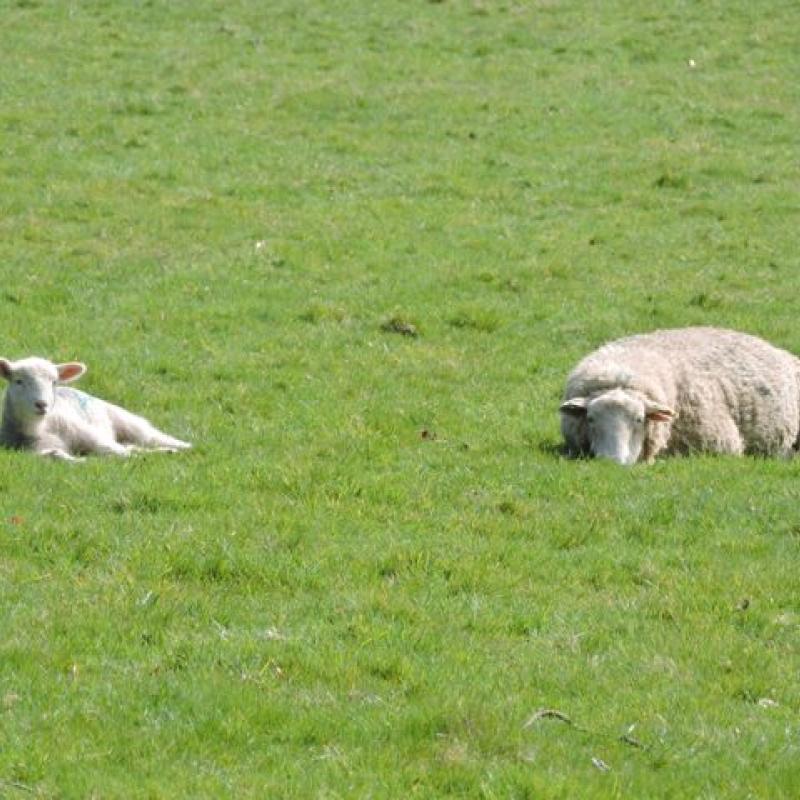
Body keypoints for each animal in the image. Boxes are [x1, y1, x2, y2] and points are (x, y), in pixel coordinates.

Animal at [0, 356, 191, 462]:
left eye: (54, 382)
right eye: (18, 381)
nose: (42, 404)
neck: (40, 428)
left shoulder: (87, 433)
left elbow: (115, 450)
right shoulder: (29, 451)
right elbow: (56, 455)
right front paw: (82, 461)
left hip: (125, 420)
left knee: (150, 437)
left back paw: (182, 447)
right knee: (133, 446)